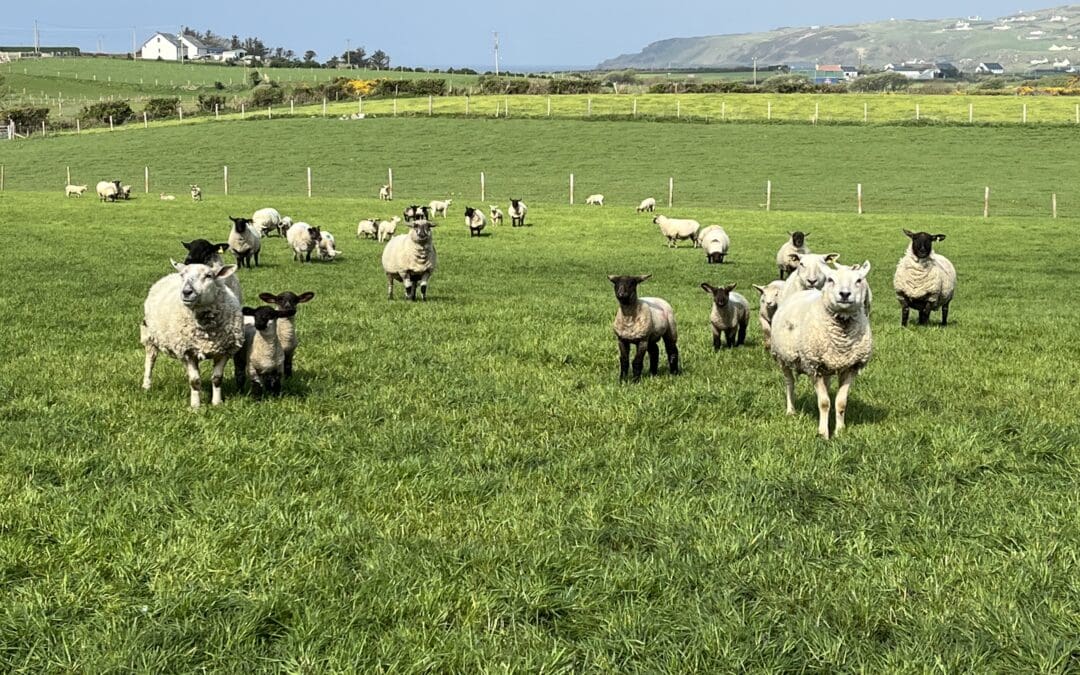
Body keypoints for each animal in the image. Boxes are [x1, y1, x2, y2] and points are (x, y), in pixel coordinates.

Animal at [140, 260, 245, 408]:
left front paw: (217, 403)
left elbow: (217, 379)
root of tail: (170, 274)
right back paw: (146, 385)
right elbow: (195, 381)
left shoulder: (224, 351)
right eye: (183, 275)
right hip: (149, 335)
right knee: (150, 360)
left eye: (209, 275)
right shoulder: (187, 352)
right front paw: (196, 406)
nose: (186, 292)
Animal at [770, 261, 873, 439]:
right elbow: (824, 403)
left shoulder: (851, 366)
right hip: (783, 357)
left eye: (859, 280)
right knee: (789, 383)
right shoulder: (813, 366)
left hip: (827, 365)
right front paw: (823, 433)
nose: (844, 294)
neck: (842, 339)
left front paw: (840, 431)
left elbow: (841, 403)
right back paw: (791, 410)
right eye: (830, 279)